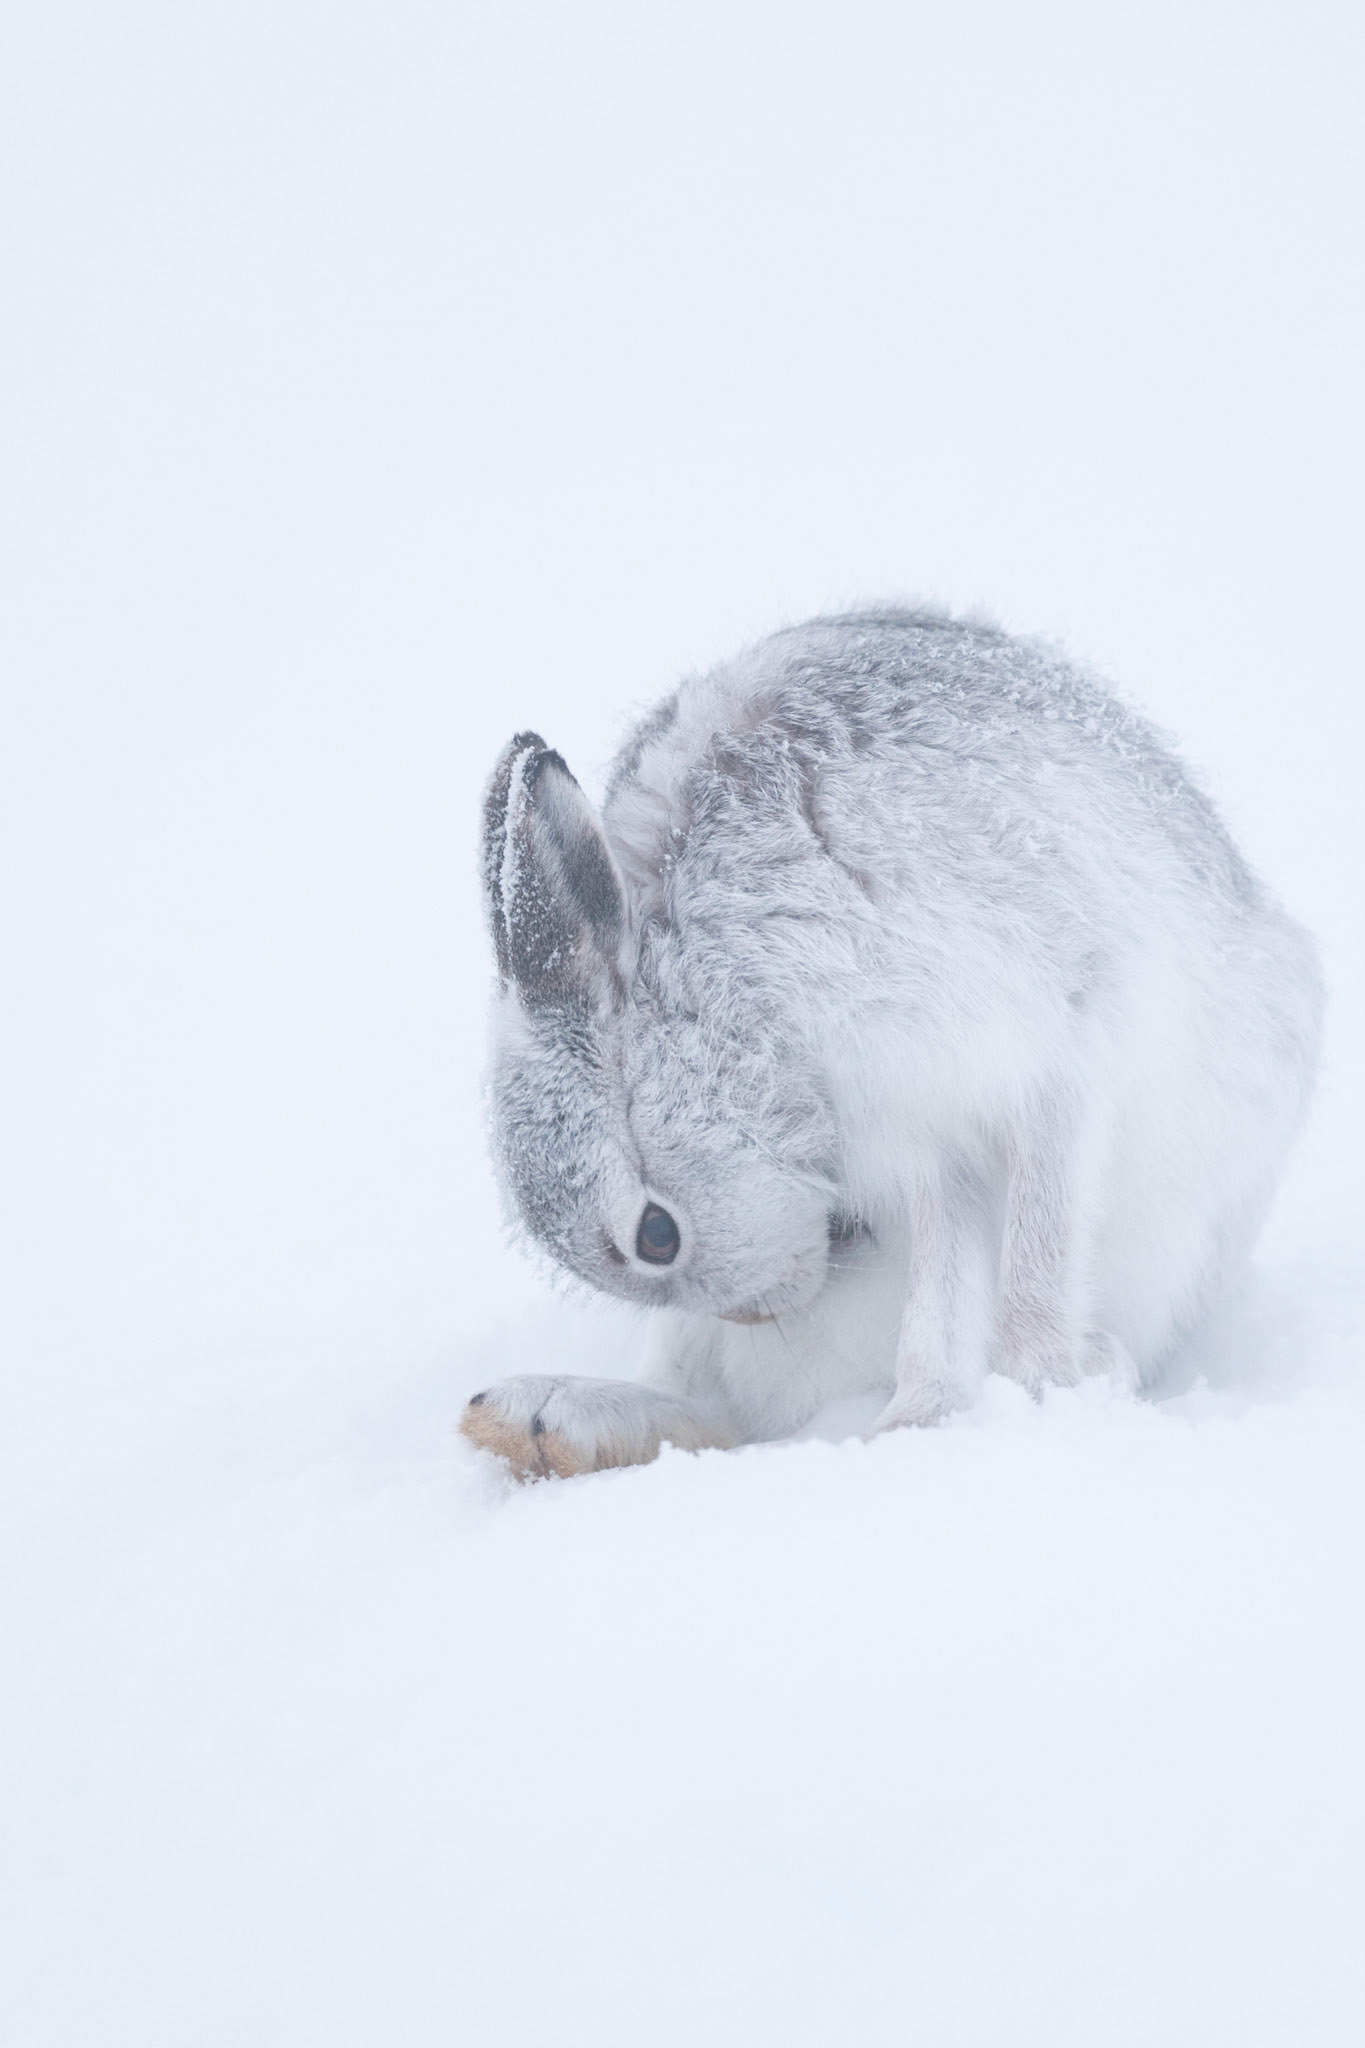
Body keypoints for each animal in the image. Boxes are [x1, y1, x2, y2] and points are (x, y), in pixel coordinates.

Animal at [459, 608, 1323, 1480]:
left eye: (655, 1236)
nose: (754, 1315)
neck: (728, 997)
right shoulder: (911, 1133)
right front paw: (937, 1420)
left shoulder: (1031, 1058)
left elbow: (1028, 1247)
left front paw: (1029, 1393)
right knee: (706, 1401)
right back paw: (537, 1416)